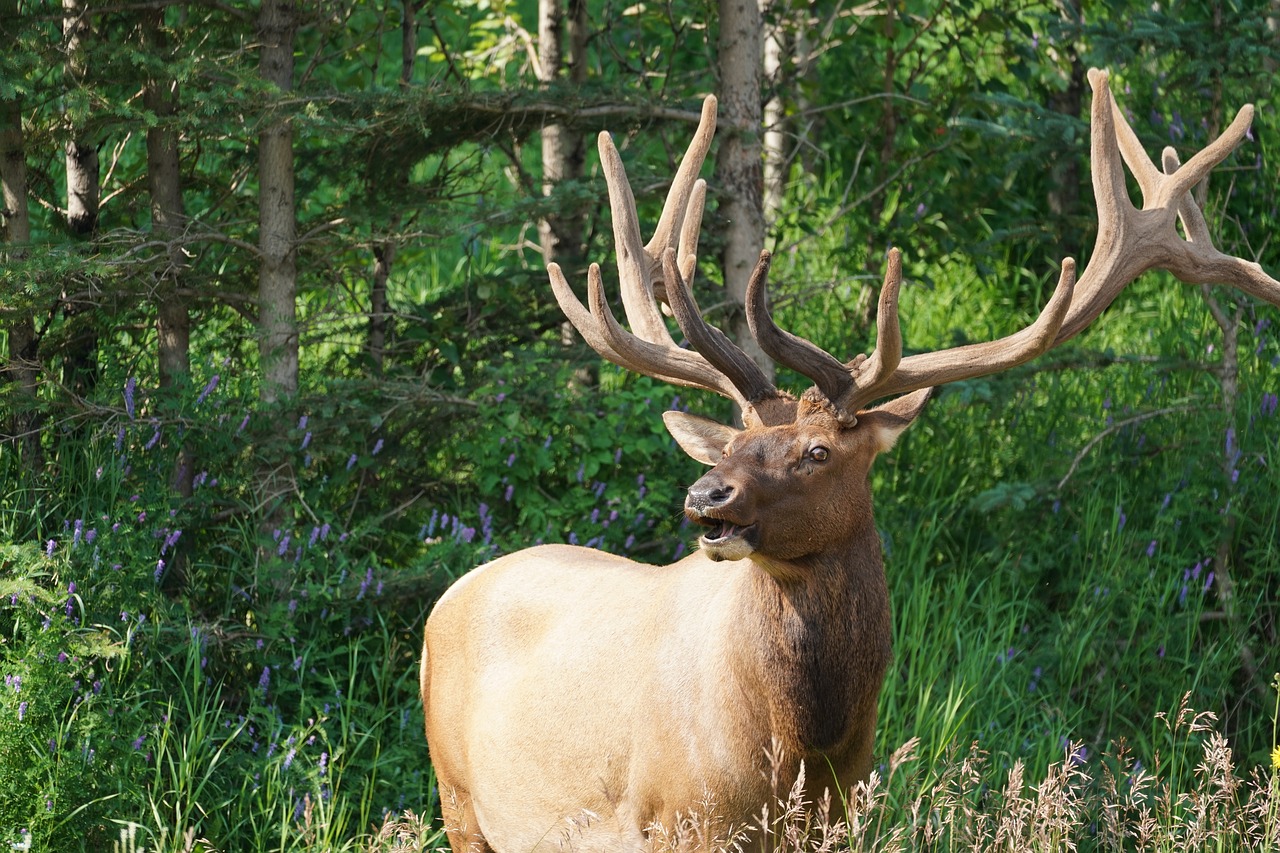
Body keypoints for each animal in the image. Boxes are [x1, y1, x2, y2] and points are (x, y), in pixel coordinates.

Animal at [422, 69, 1280, 845]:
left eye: (816, 449)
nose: (706, 496)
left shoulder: (842, 816)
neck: (804, 753)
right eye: (735, 442)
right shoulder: (672, 820)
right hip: (459, 797)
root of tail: (448, 595)